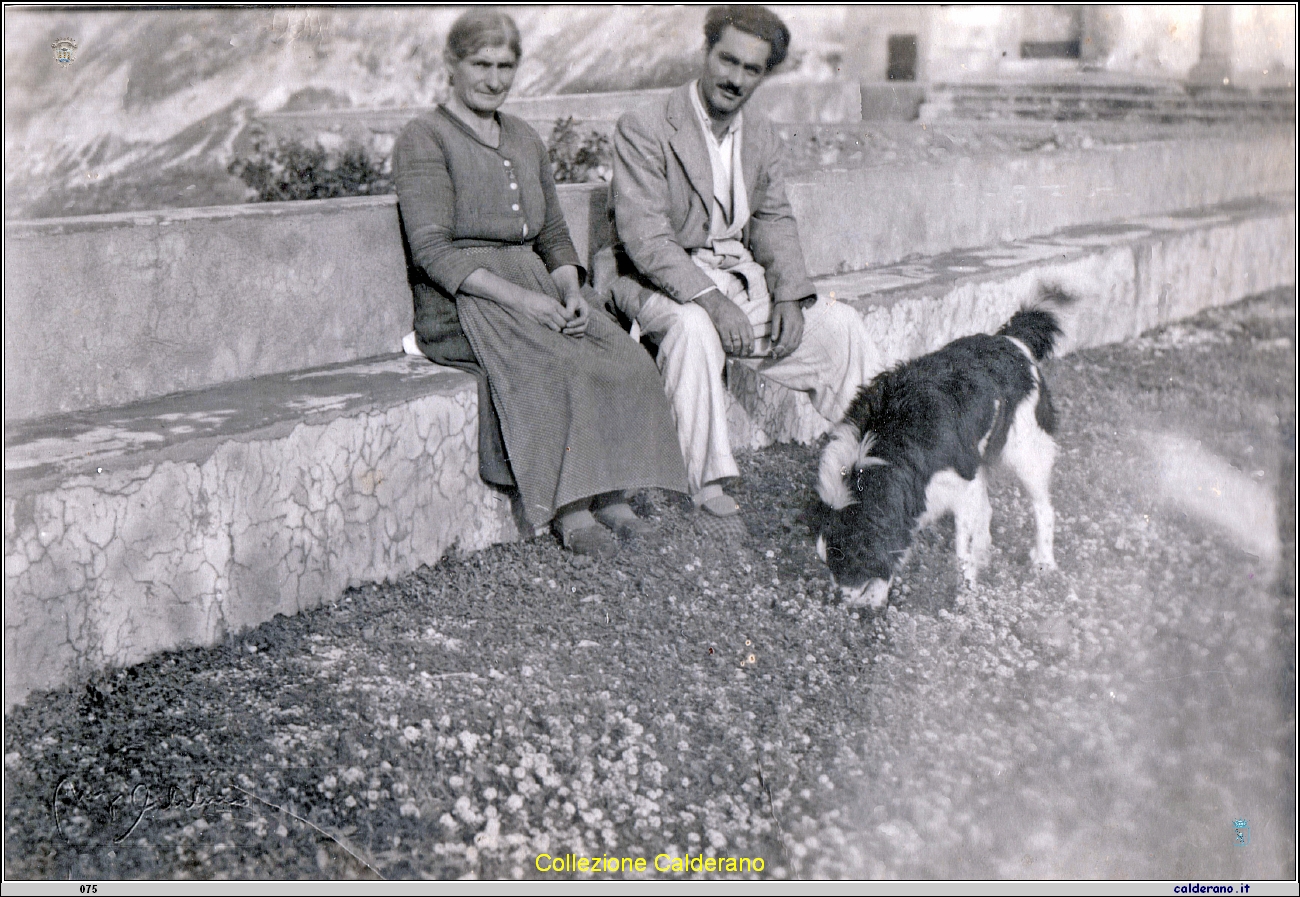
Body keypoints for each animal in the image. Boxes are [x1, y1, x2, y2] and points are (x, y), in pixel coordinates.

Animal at [806, 288, 1071, 608]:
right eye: (827, 563)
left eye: (849, 561)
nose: (838, 600)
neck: (881, 444)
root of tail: (1012, 340)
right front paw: (879, 593)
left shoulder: (959, 485)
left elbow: (960, 549)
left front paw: (965, 588)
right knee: (989, 510)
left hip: (1026, 452)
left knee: (1044, 510)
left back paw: (1044, 561)